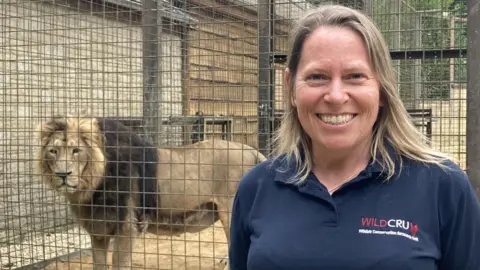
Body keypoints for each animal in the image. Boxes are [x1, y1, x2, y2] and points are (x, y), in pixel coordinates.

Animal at [34, 115, 266, 268]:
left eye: (76, 150)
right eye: (53, 151)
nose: (63, 174)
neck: (90, 186)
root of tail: (252, 150)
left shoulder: (128, 227)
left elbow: (119, 263)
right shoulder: (98, 230)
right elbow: (99, 264)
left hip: (230, 211)